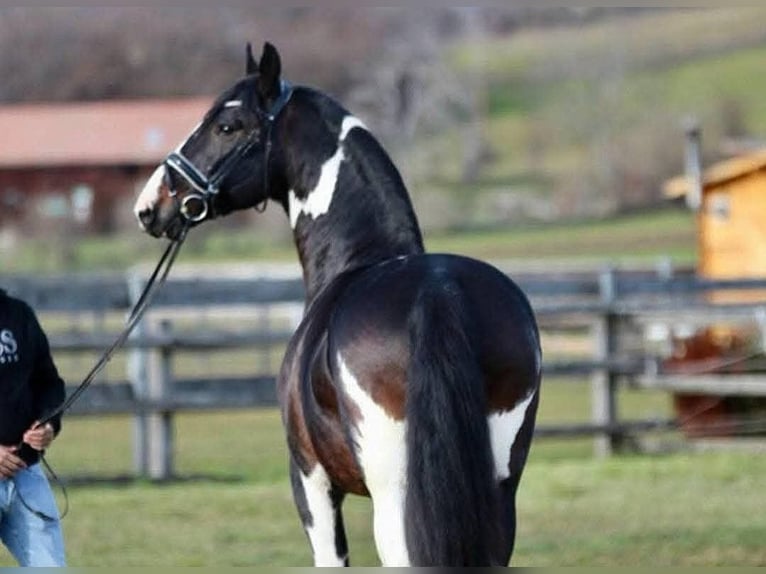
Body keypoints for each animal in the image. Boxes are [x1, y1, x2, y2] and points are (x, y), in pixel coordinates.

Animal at [133, 42, 541, 567]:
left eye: (227, 125)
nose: (151, 205)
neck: (358, 260)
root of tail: (438, 291)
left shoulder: (310, 480)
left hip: (393, 496)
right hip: (496, 493)